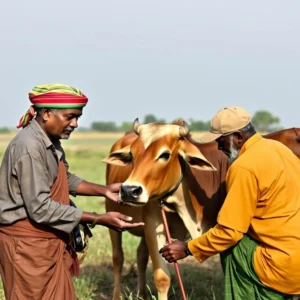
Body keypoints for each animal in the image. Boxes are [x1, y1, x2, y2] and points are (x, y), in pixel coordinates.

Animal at [103, 122, 300, 300]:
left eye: (165, 155)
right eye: (131, 155)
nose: (129, 191)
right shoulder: (153, 224)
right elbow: (162, 278)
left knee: (140, 256)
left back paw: (142, 294)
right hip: (113, 219)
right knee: (118, 259)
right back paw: (117, 295)